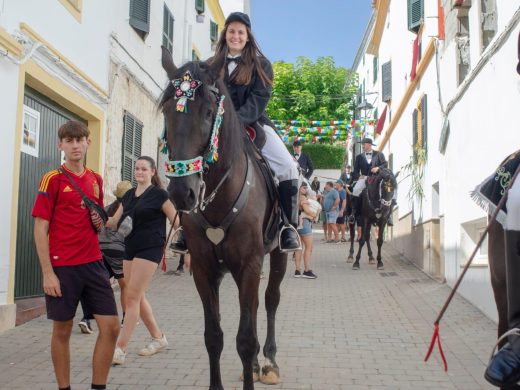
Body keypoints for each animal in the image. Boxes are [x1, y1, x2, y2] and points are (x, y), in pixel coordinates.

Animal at [159, 49, 286, 390]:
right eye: (166, 112)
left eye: (207, 112)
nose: (182, 192)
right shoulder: (204, 270)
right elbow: (214, 337)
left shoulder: (249, 265)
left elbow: (246, 340)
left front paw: (256, 364)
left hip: (279, 255)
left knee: (270, 300)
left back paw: (269, 362)